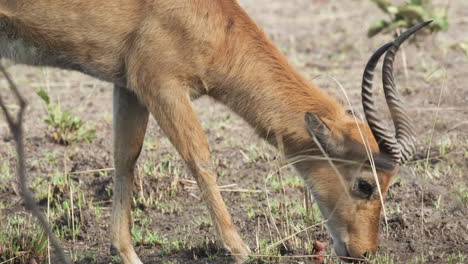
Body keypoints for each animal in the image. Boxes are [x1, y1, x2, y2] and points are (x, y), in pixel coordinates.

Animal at [0, 1, 432, 262]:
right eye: (365, 184)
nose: (364, 251)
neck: (214, 26)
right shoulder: (162, 85)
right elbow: (200, 159)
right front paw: (241, 250)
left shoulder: (129, 87)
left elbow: (126, 159)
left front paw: (126, 252)